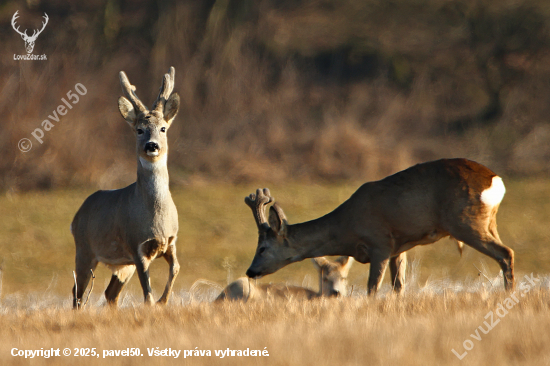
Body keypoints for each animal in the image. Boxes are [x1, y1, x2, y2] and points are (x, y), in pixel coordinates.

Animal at [71, 67, 181, 308]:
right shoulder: (136, 246)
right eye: (139, 130)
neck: (155, 217)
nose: (152, 145)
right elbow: (147, 293)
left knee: (110, 293)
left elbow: (176, 269)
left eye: (163, 128)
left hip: (122, 264)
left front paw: (164, 300)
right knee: (77, 293)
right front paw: (156, 303)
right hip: (84, 250)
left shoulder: (171, 242)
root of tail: (76, 216)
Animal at [244, 159, 516, 294]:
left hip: (465, 221)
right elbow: (398, 287)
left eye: (262, 248)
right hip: (489, 221)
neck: (346, 228)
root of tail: (495, 179)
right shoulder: (400, 247)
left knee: (506, 253)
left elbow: (372, 288)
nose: (250, 271)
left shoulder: (380, 243)